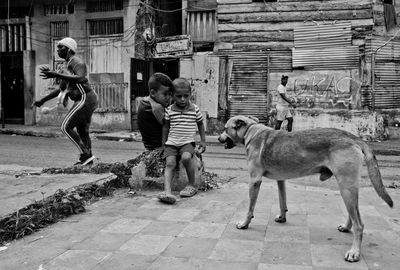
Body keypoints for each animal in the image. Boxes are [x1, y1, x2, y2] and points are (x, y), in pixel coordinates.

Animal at [217, 115, 392, 262]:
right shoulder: (281, 179)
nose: (219, 138)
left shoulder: (254, 181)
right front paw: (282, 217)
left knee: (359, 224)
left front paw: (244, 223)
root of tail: (353, 137)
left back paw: (354, 251)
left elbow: (250, 208)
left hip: (346, 187)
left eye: (225, 128)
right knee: (355, 213)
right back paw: (346, 228)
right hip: (348, 188)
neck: (251, 131)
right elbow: (282, 200)